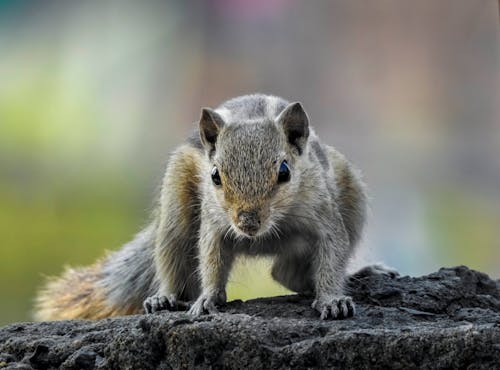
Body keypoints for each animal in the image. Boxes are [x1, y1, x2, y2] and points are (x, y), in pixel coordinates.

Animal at [33, 94, 366, 320]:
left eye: (284, 171)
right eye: (215, 175)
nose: (247, 223)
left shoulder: (324, 215)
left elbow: (332, 255)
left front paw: (332, 299)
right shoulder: (214, 224)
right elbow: (210, 260)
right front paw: (208, 298)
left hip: (353, 197)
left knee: (284, 272)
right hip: (175, 209)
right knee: (172, 258)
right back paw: (163, 298)